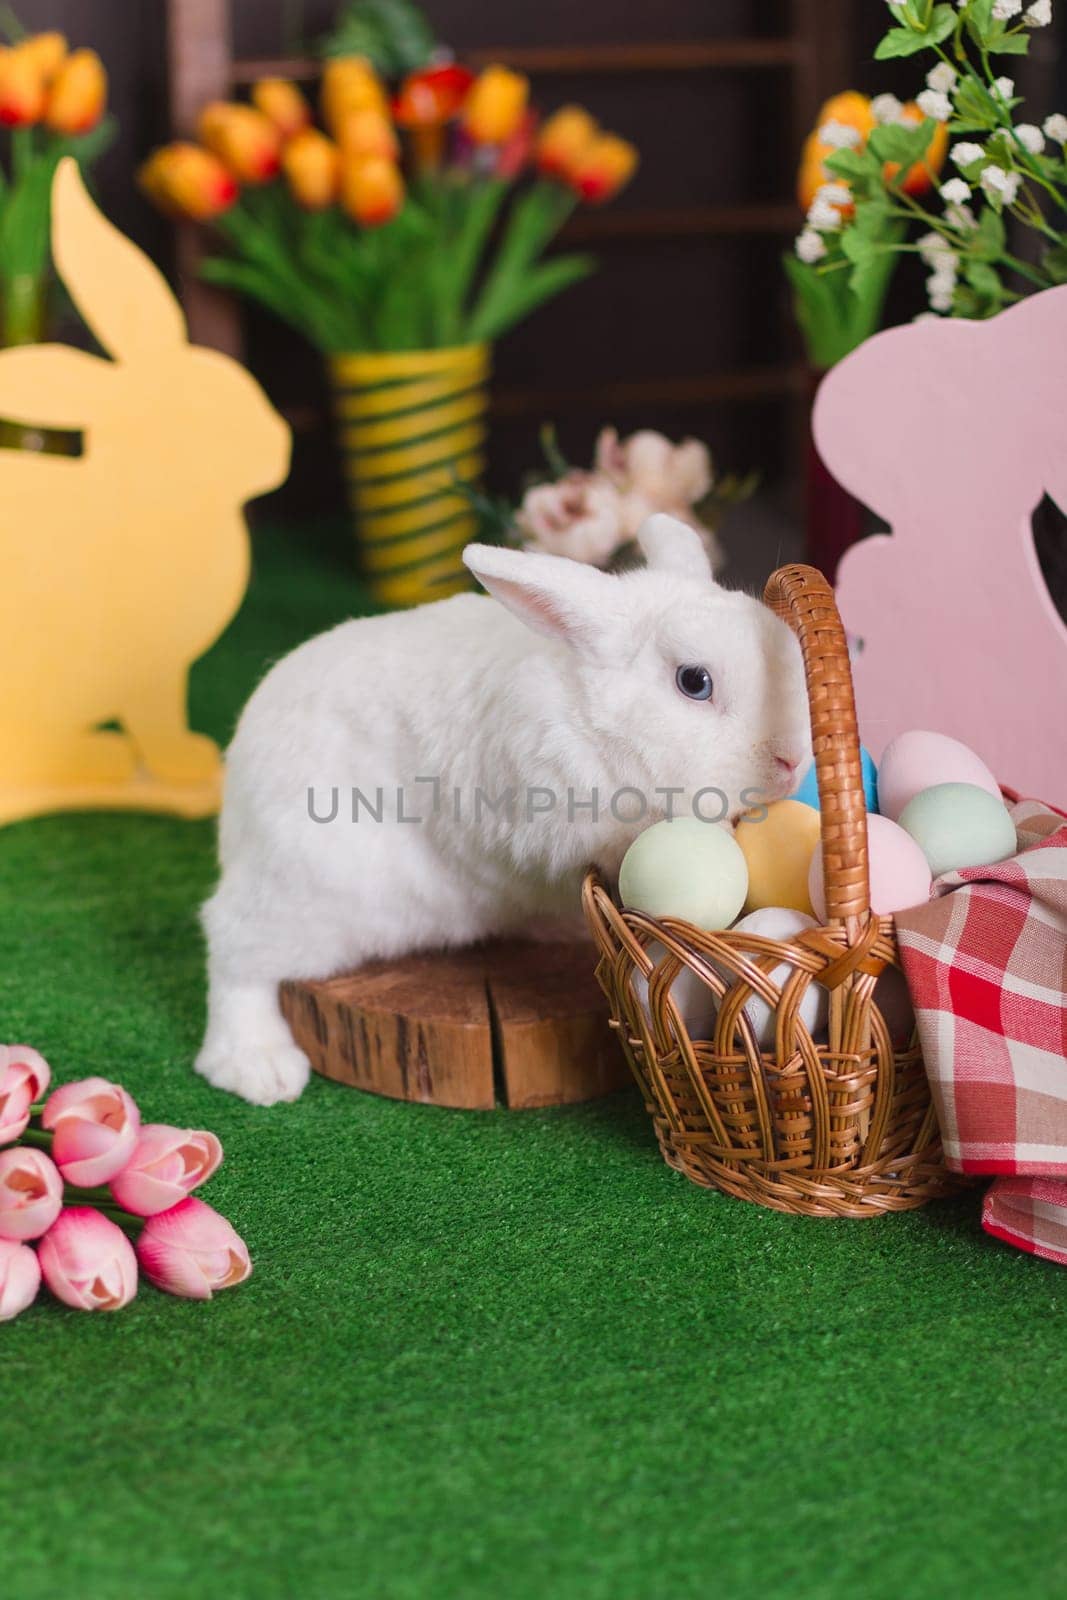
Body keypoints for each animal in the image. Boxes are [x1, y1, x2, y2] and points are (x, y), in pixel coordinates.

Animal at [198, 512, 809, 1100]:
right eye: (694, 681)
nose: (792, 760)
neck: (591, 715)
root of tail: (235, 812)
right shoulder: (564, 814)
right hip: (306, 895)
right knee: (234, 953)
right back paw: (261, 1069)